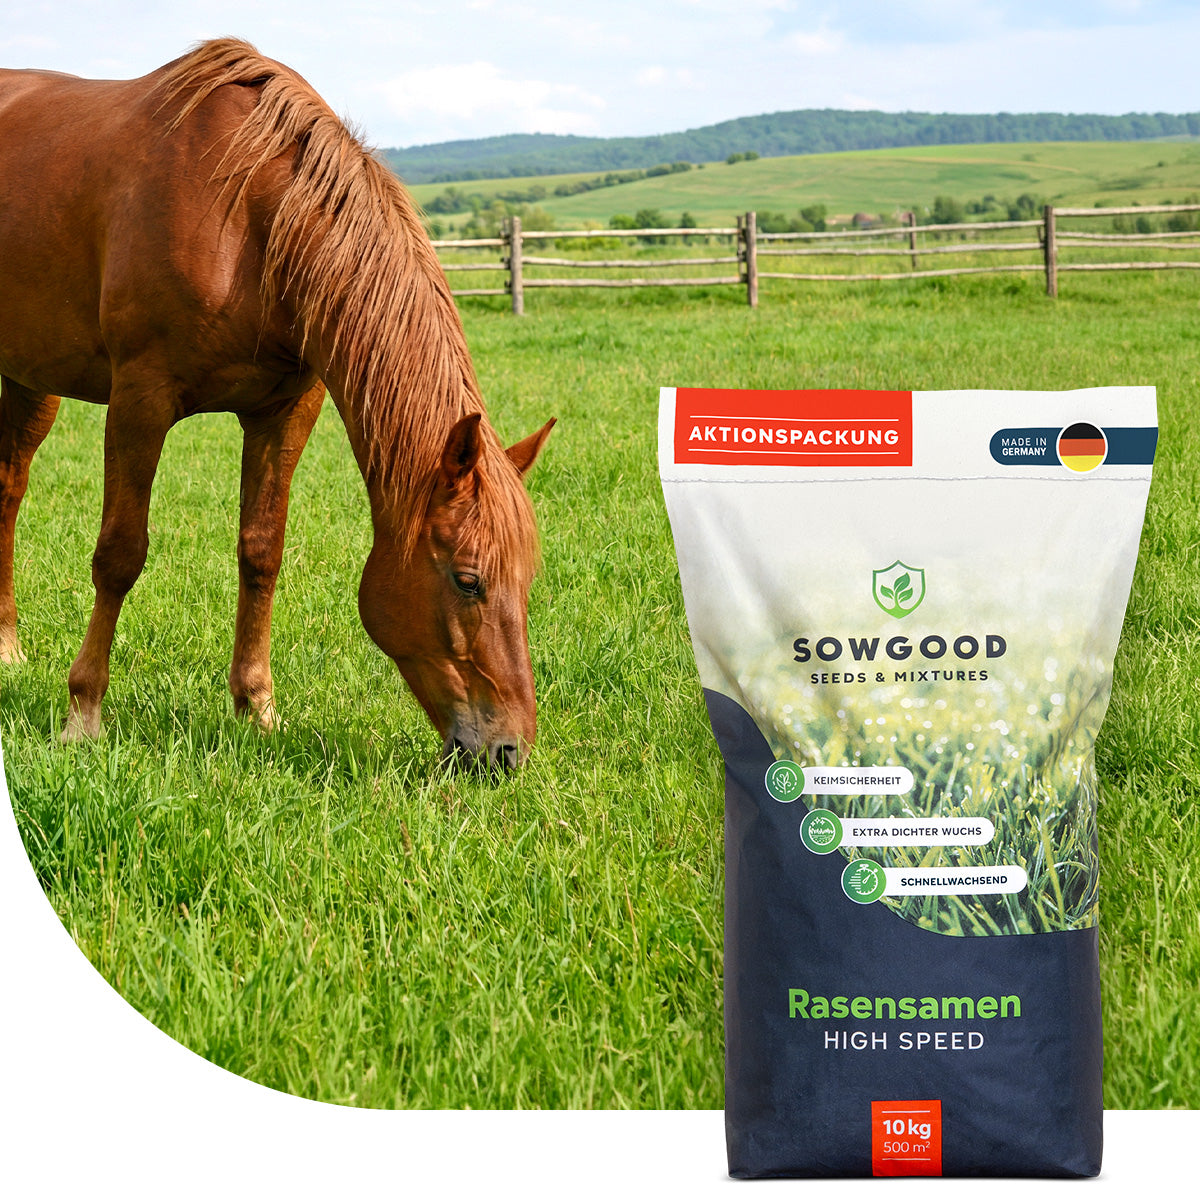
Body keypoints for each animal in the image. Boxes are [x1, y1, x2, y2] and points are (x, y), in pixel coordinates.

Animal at [0, 39, 554, 770]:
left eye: (527, 579)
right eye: (468, 581)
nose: (508, 751)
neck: (247, 217)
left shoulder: (285, 410)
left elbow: (261, 553)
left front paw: (256, 707)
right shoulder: (140, 400)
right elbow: (119, 555)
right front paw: (82, 713)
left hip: (29, 381)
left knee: (7, 491)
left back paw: (5, 645)